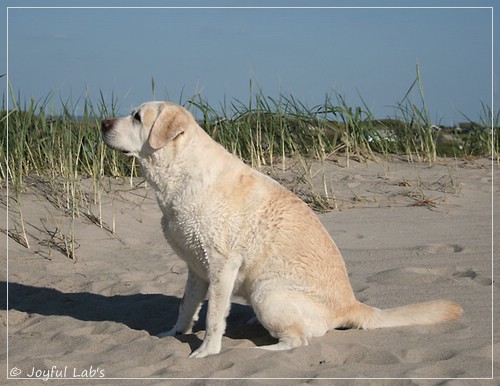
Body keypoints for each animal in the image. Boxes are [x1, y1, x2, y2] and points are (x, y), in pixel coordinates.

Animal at [100, 101, 460, 358]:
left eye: (137, 117)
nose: (102, 123)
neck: (180, 172)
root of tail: (352, 305)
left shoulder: (221, 266)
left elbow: (214, 316)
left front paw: (206, 351)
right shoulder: (197, 269)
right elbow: (187, 306)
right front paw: (173, 334)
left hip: (268, 291)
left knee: (298, 340)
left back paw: (265, 350)